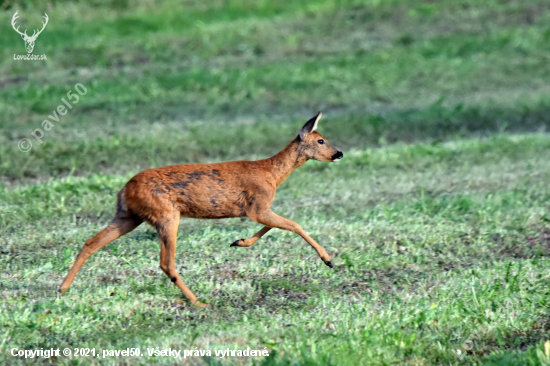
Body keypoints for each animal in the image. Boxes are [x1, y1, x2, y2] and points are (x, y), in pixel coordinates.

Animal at [60, 113, 344, 308]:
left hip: (128, 216)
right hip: (166, 214)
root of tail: (124, 189)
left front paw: (239, 241)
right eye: (321, 140)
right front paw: (328, 259)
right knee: (166, 262)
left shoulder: (257, 208)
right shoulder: (256, 205)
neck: (271, 174)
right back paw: (198, 302)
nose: (339, 153)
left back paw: (62, 288)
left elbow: (274, 225)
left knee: (91, 242)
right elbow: (293, 224)